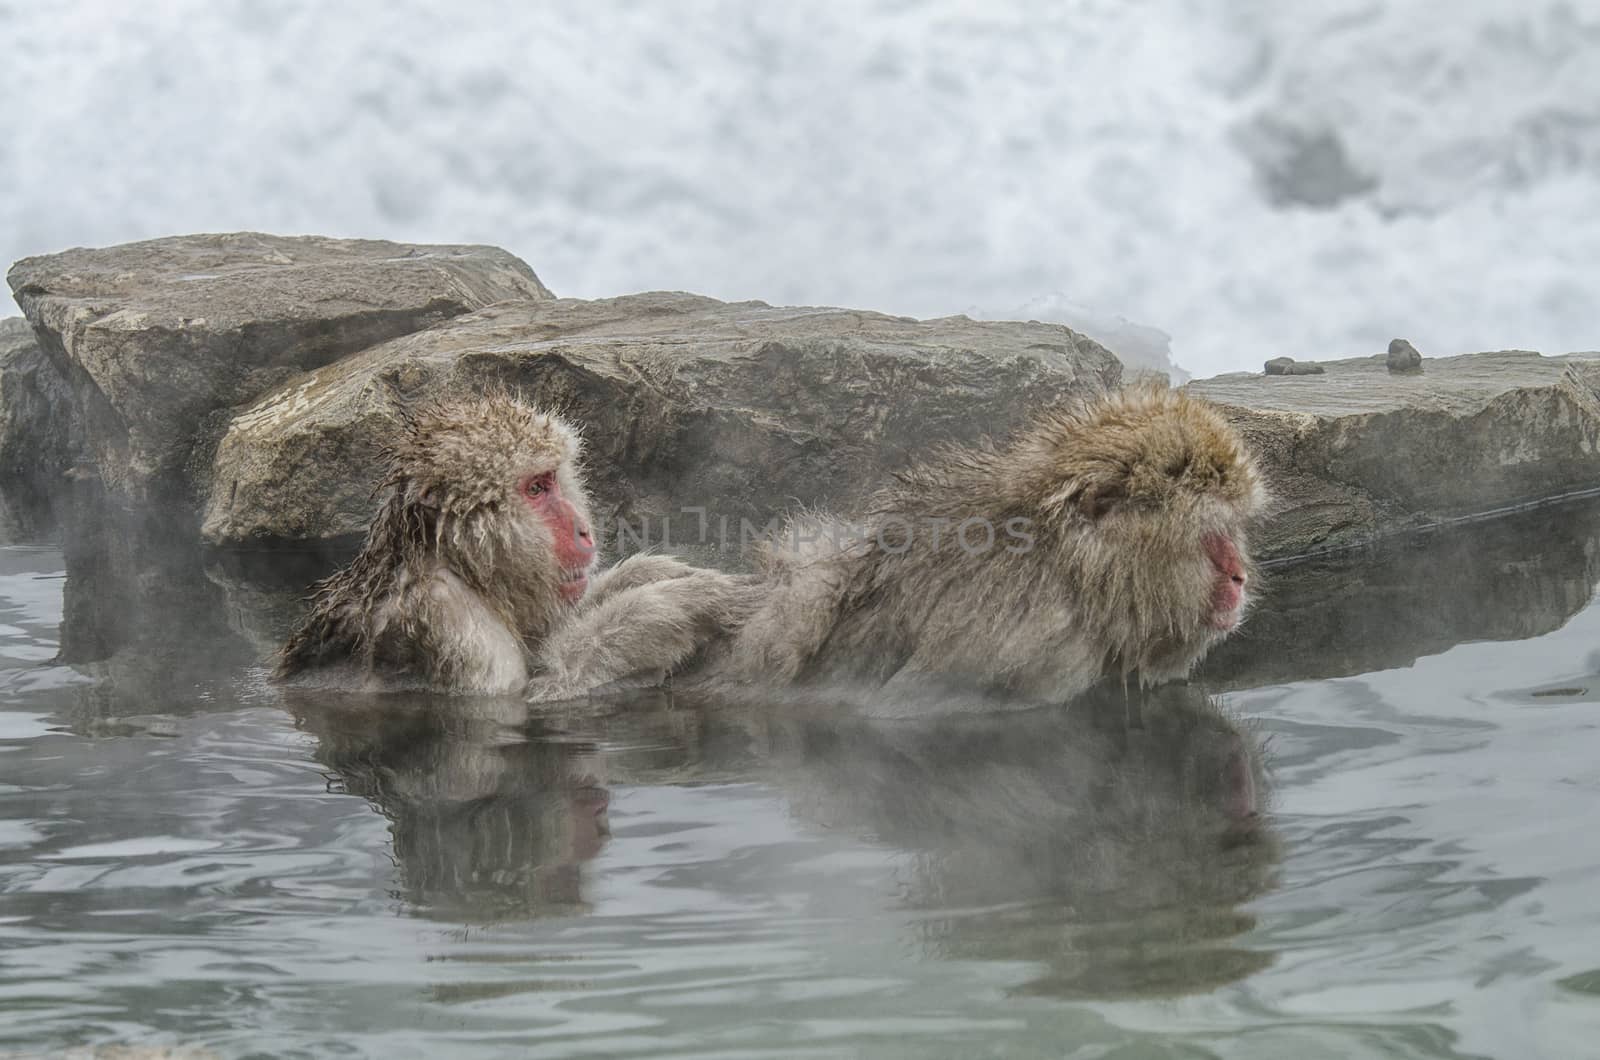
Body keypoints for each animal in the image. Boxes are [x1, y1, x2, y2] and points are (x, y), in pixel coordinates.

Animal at [278, 392, 758, 698]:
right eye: (535, 489)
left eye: (553, 479)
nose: (584, 530)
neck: (463, 569)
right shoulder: (453, 622)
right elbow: (530, 695)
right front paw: (672, 605)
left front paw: (651, 573)